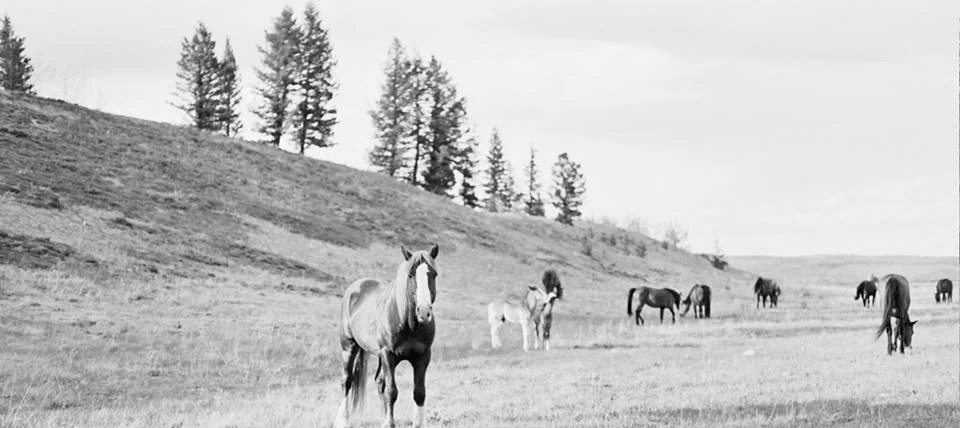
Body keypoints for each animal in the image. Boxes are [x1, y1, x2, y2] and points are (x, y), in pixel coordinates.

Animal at [335, 244, 440, 428]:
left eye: (433, 274)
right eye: (410, 275)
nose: (424, 312)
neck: (408, 324)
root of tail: (355, 288)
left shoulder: (423, 356)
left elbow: (419, 392)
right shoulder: (388, 355)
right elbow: (391, 391)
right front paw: (389, 423)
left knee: (379, 381)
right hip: (349, 346)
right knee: (347, 381)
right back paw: (343, 420)